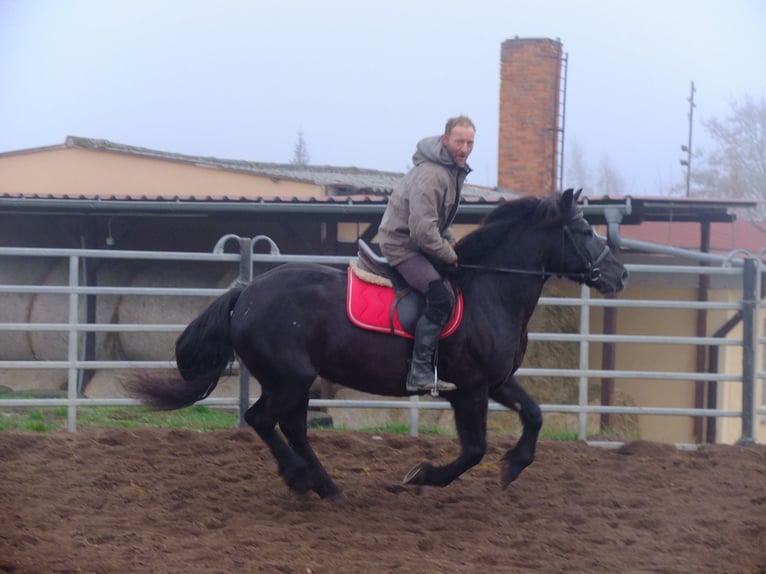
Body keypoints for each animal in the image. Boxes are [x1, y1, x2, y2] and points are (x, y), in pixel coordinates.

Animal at [129, 189, 628, 500]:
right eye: (585, 231)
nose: (619, 274)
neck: (489, 288)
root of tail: (246, 294)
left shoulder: (498, 382)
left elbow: (535, 415)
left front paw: (515, 464)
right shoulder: (469, 390)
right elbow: (474, 450)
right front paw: (424, 475)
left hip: (293, 382)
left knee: (290, 426)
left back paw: (323, 484)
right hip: (290, 379)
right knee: (264, 420)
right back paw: (303, 479)